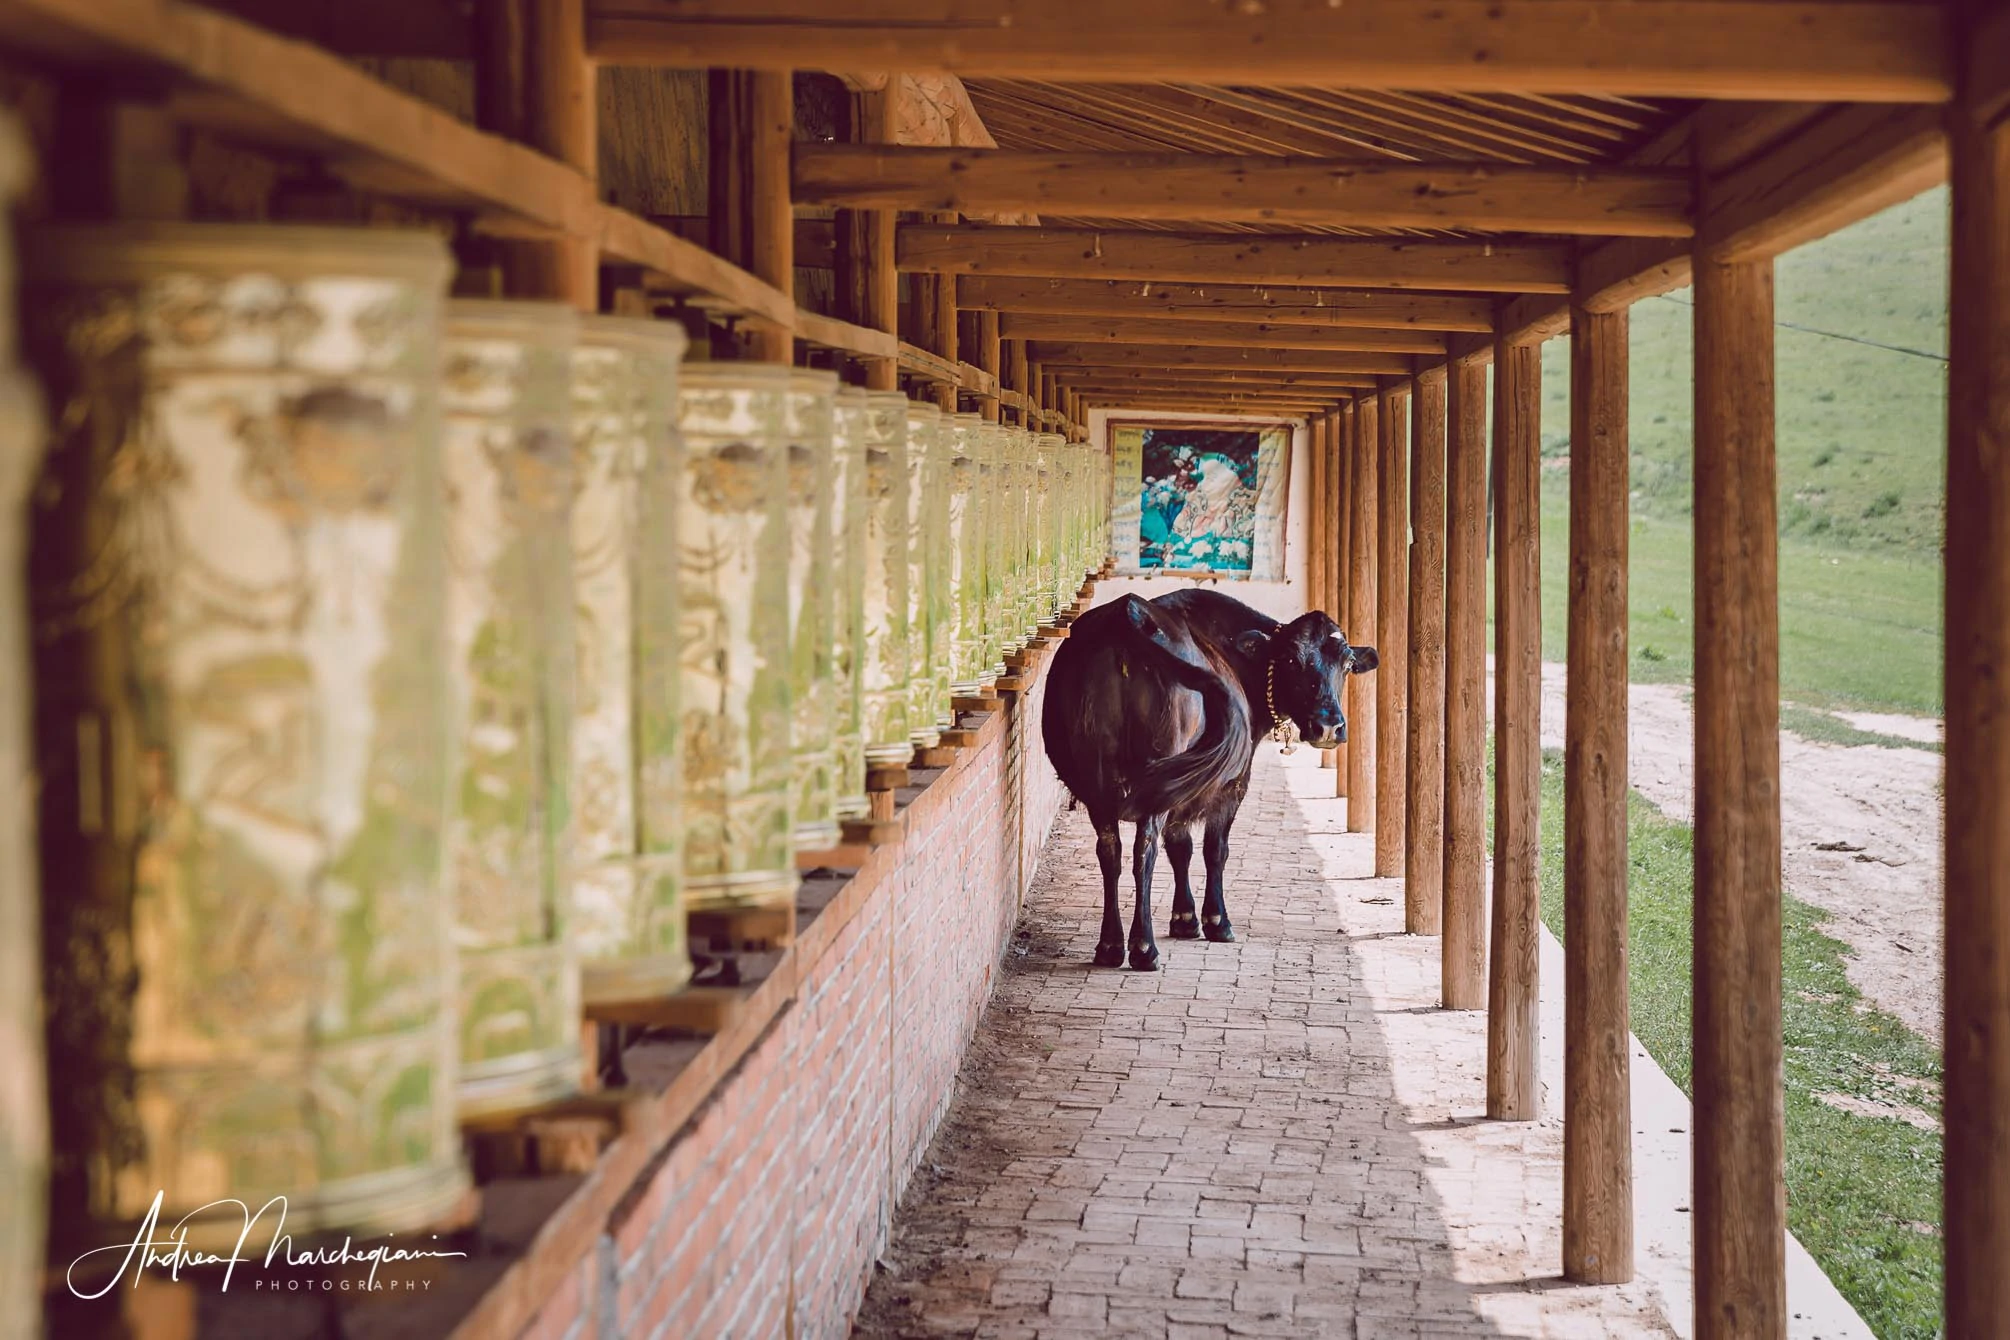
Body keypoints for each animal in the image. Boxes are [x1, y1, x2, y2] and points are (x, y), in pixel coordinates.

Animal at [1045, 590, 1374, 968]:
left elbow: (1181, 847)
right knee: (1145, 850)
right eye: (1292, 660)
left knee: (1110, 851)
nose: (1329, 726)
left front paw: (1184, 918)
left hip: (1099, 784)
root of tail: (1127, 612)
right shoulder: (1231, 787)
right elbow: (1214, 849)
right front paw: (1216, 921)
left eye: (1347, 663)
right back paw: (1143, 948)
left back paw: (1111, 946)